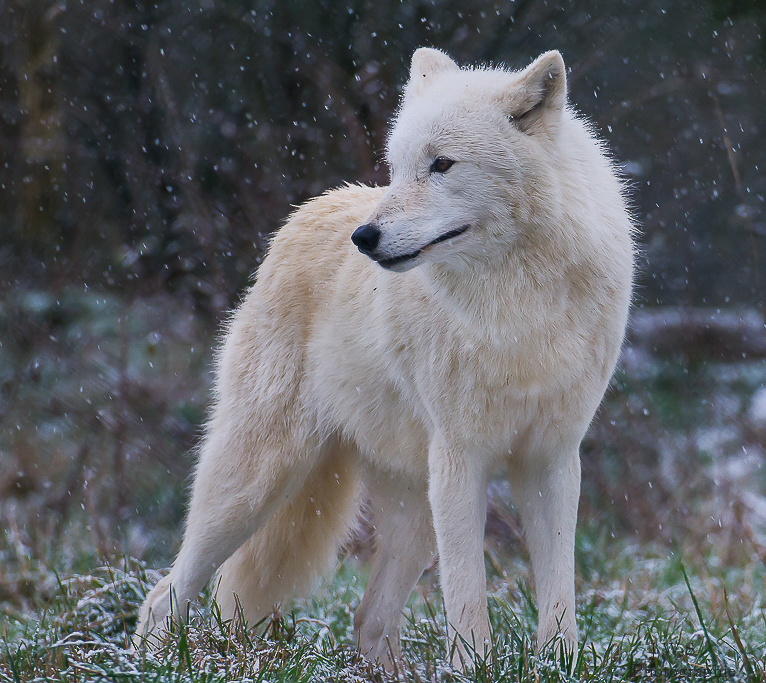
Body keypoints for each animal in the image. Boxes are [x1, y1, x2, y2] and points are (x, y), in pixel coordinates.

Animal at [134, 48, 636, 668]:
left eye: (442, 164)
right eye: (396, 169)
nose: (365, 237)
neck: (517, 307)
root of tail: (303, 213)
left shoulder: (551, 461)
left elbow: (559, 592)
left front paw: (556, 663)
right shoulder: (461, 460)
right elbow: (466, 597)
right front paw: (472, 670)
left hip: (412, 513)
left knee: (368, 617)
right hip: (255, 484)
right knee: (165, 592)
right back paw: (151, 659)